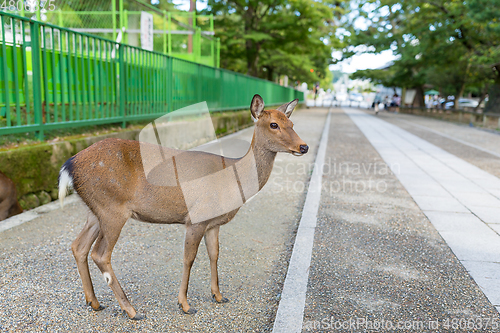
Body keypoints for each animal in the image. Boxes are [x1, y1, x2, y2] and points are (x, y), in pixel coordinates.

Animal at [58, 93, 308, 320]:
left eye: (292, 124)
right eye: (273, 124)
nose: (303, 146)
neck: (232, 180)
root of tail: (68, 166)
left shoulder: (213, 223)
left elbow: (214, 254)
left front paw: (218, 295)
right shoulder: (196, 217)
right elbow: (189, 258)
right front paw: (185, 305)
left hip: (94, 211)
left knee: (78, 246)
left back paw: (94, 302)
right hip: (112, 209)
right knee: (100, 253)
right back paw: (131, 310)